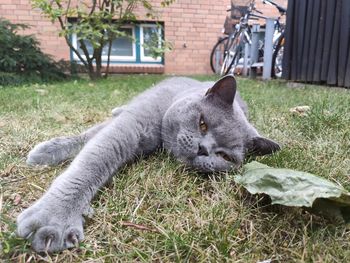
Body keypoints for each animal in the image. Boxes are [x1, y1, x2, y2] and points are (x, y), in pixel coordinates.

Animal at [16, 75, 280, 253]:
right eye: (202, 123)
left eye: (225, 157)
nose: (203, 149)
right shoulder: (131, 124)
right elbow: (92, 158)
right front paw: (55, 218)